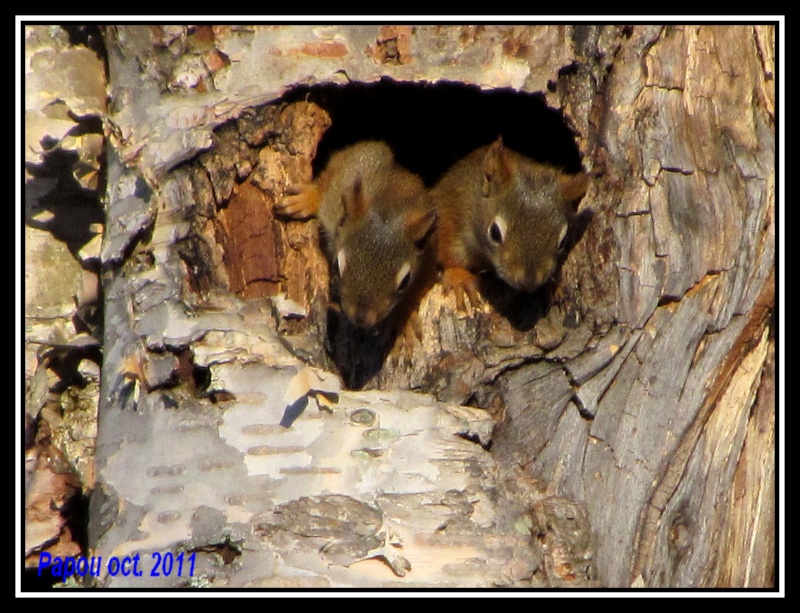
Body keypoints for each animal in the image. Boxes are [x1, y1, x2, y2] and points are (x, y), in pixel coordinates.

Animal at [276, 140, 438, 330]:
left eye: (405, 281)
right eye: (336, 266)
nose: (361, 318)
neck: (389, 204)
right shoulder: (350, 166)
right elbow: (327, 180)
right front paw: (307, 199)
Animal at [432, 135, 588, 304]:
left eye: (563, 241)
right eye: (494, 233)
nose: (528, 282)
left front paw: (552, 286)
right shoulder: (450, 214)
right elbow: (447, 252)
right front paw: (459, 277)